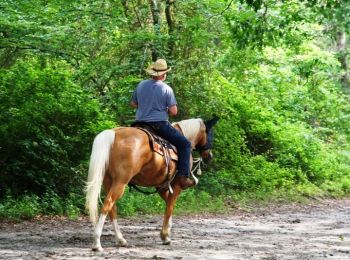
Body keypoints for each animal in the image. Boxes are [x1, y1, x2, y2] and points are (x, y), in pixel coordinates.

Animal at [85, 116, 219, 252]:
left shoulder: (161, 187)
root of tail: (114, 133)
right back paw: (97, 243)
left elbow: (168, 203)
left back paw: (120, 239)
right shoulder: (176, 185)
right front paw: (165, 236)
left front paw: (168, 229)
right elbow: (170, 207)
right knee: (107, 204)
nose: (209, 156)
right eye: (210, 134)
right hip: (120, 182)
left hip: (108, 182)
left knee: (112, 209)